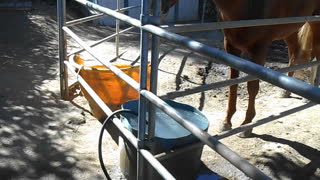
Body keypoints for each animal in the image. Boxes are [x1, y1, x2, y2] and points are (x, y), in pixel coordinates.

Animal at [159, 0, 318, 136]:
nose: (161, 8)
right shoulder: (231, 47)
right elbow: (232, 84)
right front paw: (226, 122)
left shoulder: (259, 49)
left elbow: (252, 86)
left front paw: (246, 125)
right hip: (291, 28)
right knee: (294, 55)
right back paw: (286, 91)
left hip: (315, 23)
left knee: (315, 57)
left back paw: (309, 95)